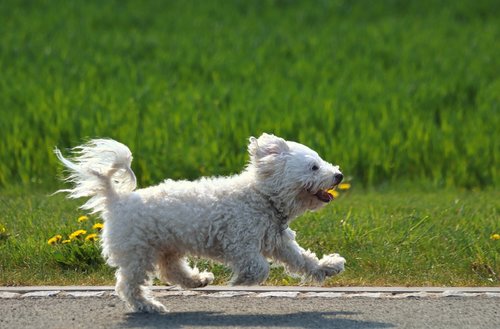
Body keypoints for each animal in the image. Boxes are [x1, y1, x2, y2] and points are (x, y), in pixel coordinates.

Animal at [53, 133, 344, 312]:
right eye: (314, 167)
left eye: (321, 162)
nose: (339, 175)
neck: (261, 196)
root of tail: (116, 199)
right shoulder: (239, 242)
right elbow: (258, 267)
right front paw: (240, 281)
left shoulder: (278, 242)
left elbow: (304, 260)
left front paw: (328, 266)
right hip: (138, 253)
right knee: (129, 285)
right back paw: (149, 306)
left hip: (166, 246)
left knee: (171, 270)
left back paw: (197, 280)